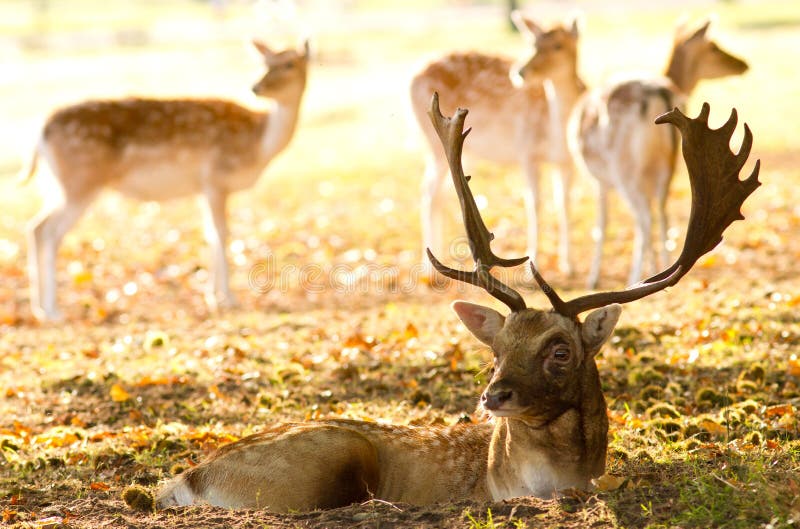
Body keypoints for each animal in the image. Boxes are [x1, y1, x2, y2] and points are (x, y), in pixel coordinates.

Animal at [21, 39, 310, 320]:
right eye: (265, 63)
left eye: (289, 64)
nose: (256, 87)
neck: (259, 144)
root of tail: (40, 133)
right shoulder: (216, 178)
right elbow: (221, 233)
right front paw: (226, 299)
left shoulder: (203, 187)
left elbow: (210, 234)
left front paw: (215, 296)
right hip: (80, 182)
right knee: (50, 232)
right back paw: (52, 311)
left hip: (57, 184)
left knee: (36, 226)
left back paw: (39, 308)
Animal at [410, 12, 584, 276]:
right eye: (533, 43)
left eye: (558, 45)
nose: (521, 71)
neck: (556, 134)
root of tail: (412, 75)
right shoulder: (526, 151)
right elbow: (535, 203)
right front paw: (533, 263)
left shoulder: (567, 162)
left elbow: (564, 204)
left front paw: (569, 265)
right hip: (433, 141)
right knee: (428, 191)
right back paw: (427, 268)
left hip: (462, 151)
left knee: (440, 192)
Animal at [568, 18, 752, 286]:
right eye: (714, 47)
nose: (743, 64)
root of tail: (660, 93)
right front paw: (653, 265)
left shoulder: (597, 179)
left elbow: (602, 224)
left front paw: (593, 279)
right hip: (667, 166)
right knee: (663, 212)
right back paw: (664, 269)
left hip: (625, 170)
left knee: (644, 217)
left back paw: (636, 277)